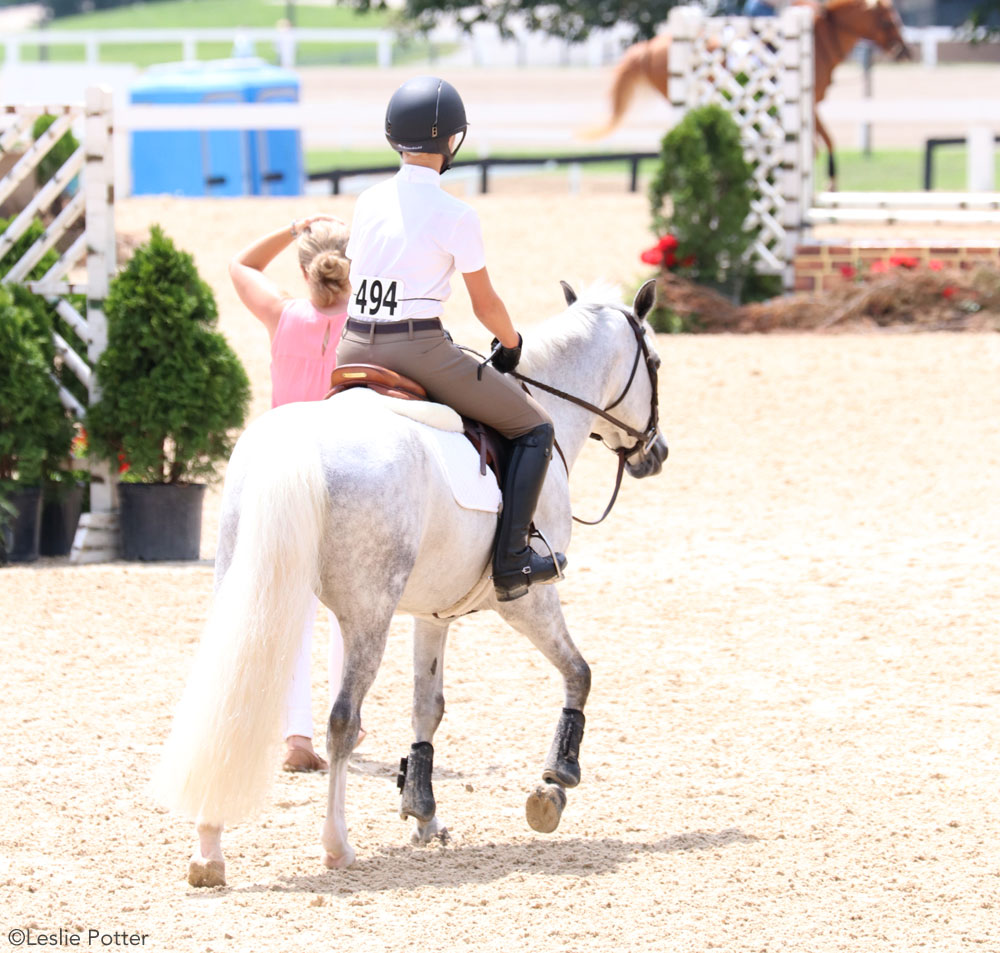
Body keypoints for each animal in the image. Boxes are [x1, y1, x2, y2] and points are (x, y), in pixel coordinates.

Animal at [150, 278, 664, 884]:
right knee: (342, 720)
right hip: (367, 615)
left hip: (246, 587)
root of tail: (300, 445)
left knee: (228, 694)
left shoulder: (433, 611)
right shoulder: (529, 598)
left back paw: (208, 849)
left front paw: (422, 811)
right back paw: (336, 845)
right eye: (656, 362)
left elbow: (427, 706)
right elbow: (579, 673)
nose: (656, 453)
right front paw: (555, 782)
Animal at [588, 0, 912, 189]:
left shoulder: (810, 106)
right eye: (888, 20)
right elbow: (825, 143)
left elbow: (820, 145)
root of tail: (650, 45)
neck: (820, 38)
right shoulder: (810, 105)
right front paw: (828, 185)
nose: (905, 52)